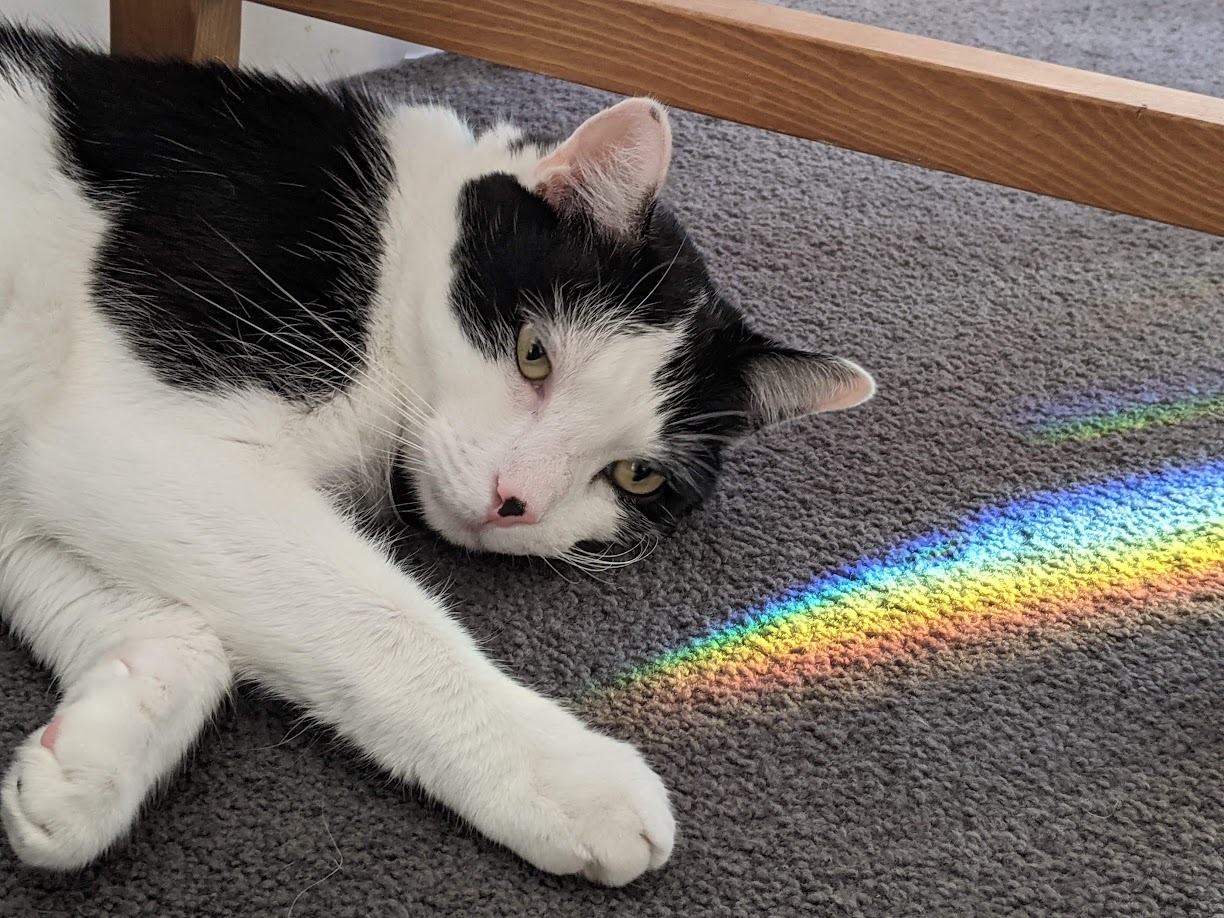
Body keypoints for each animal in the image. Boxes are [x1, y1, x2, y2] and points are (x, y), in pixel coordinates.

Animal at [0, 23, 876, 886]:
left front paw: (99, 745)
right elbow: (379, 622)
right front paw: (568, 777)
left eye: (637, 475)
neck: (388, 240)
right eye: (533, 354)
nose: (513, 501)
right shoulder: (130, 432)